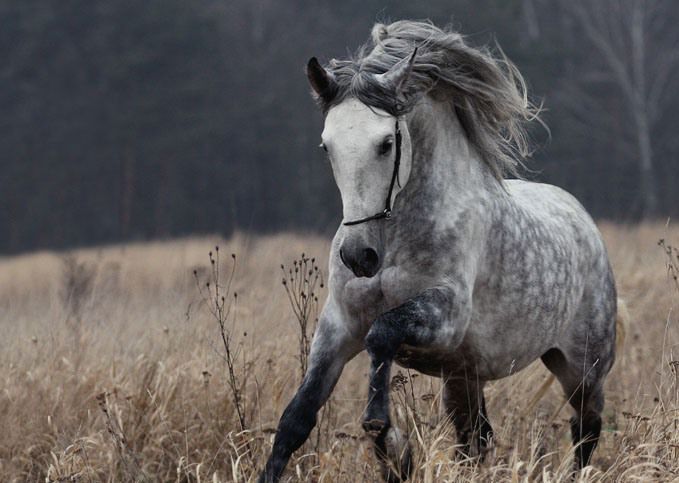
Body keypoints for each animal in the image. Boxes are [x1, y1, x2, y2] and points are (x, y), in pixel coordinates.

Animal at [258, 20, 620, 482]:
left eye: (386, 143)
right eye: (327, 146)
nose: (359, 257)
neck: (394, 244)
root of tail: (584, 222)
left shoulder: (444, 317)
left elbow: (383, 334)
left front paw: (388, 438)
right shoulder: (338, 326)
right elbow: (295, 420)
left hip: (582, 367)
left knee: (585, 429)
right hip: (463, 377)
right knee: (475, 438)